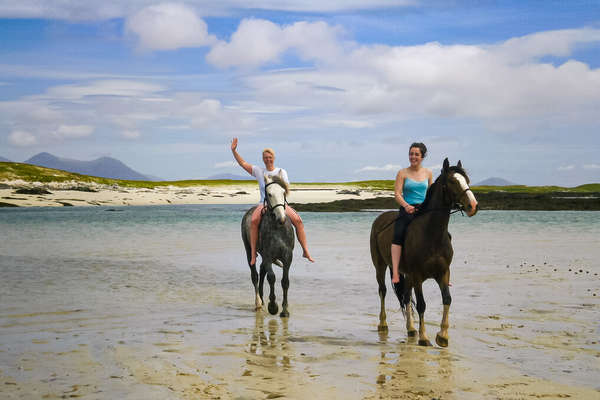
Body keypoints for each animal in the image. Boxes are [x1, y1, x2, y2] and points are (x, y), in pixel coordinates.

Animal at [240, 172, 294, 316]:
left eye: (283, 192)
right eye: (269, 194)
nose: (281, 219)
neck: (277, 228)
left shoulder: (287, 257)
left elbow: (285, 282)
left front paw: (285, 310)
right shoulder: (268, 256)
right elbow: (271, 277)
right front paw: (273, 306)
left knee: (261, 270)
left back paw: (263, 300)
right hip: (249, 251)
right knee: (255, 275)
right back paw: (259, 303)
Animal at [370, 159, 478, 346]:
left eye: (467, 180)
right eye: (452, 181)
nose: (473, 206)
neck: (431, 234)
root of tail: (379, 218)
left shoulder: (443, 273)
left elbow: (447, 299)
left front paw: (443, 336)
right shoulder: (417, 275)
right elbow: (421, 304)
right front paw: (424, 337)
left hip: (405, 274)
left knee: (406, 296)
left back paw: (411, 329)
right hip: (380, 265)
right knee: (383, 290)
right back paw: (383, 325)